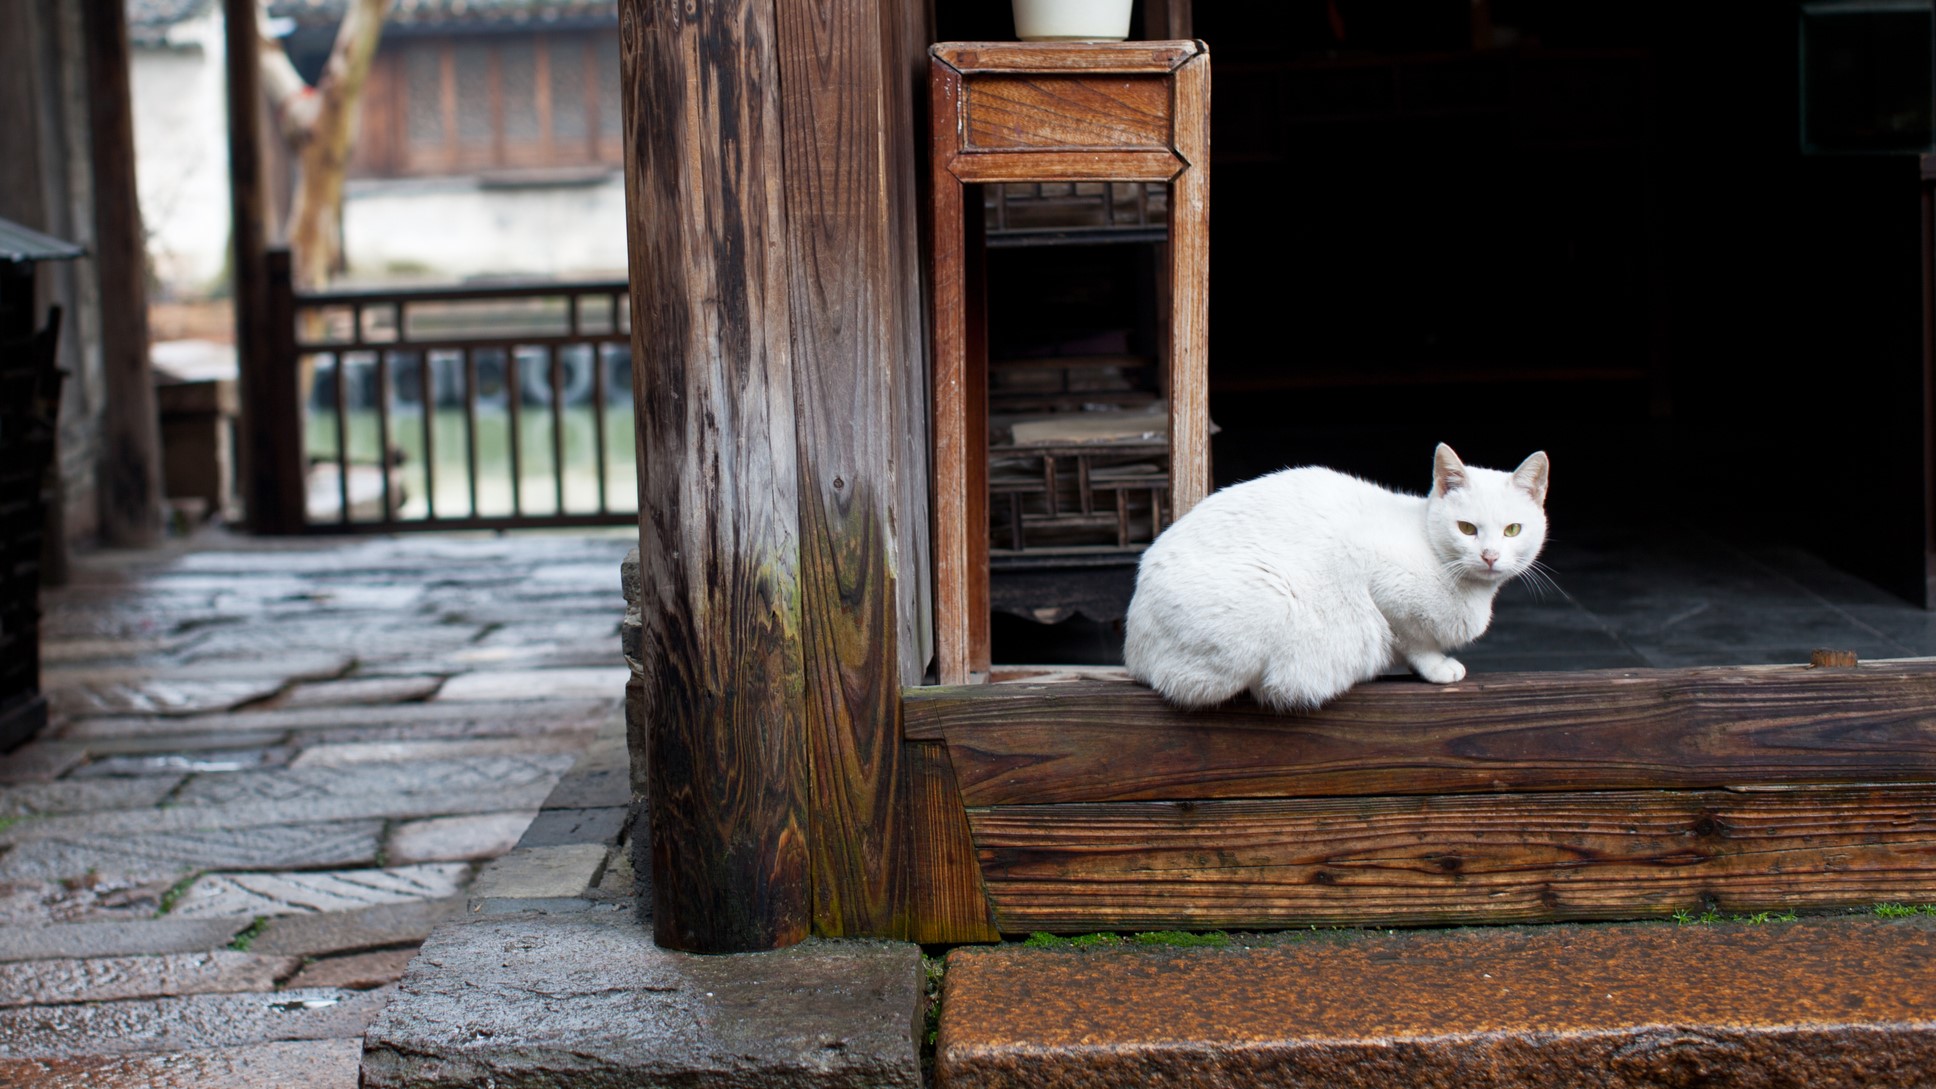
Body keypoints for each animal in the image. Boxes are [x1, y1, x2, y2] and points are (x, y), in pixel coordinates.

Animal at [1122, 443, 1541, 713]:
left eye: (1512, 530)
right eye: (1467, 528)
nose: (1490, 555)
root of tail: (1133, 650)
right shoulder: (1379, 581)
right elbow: (1413, 641)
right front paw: (1438, 668)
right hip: (1270, 605)